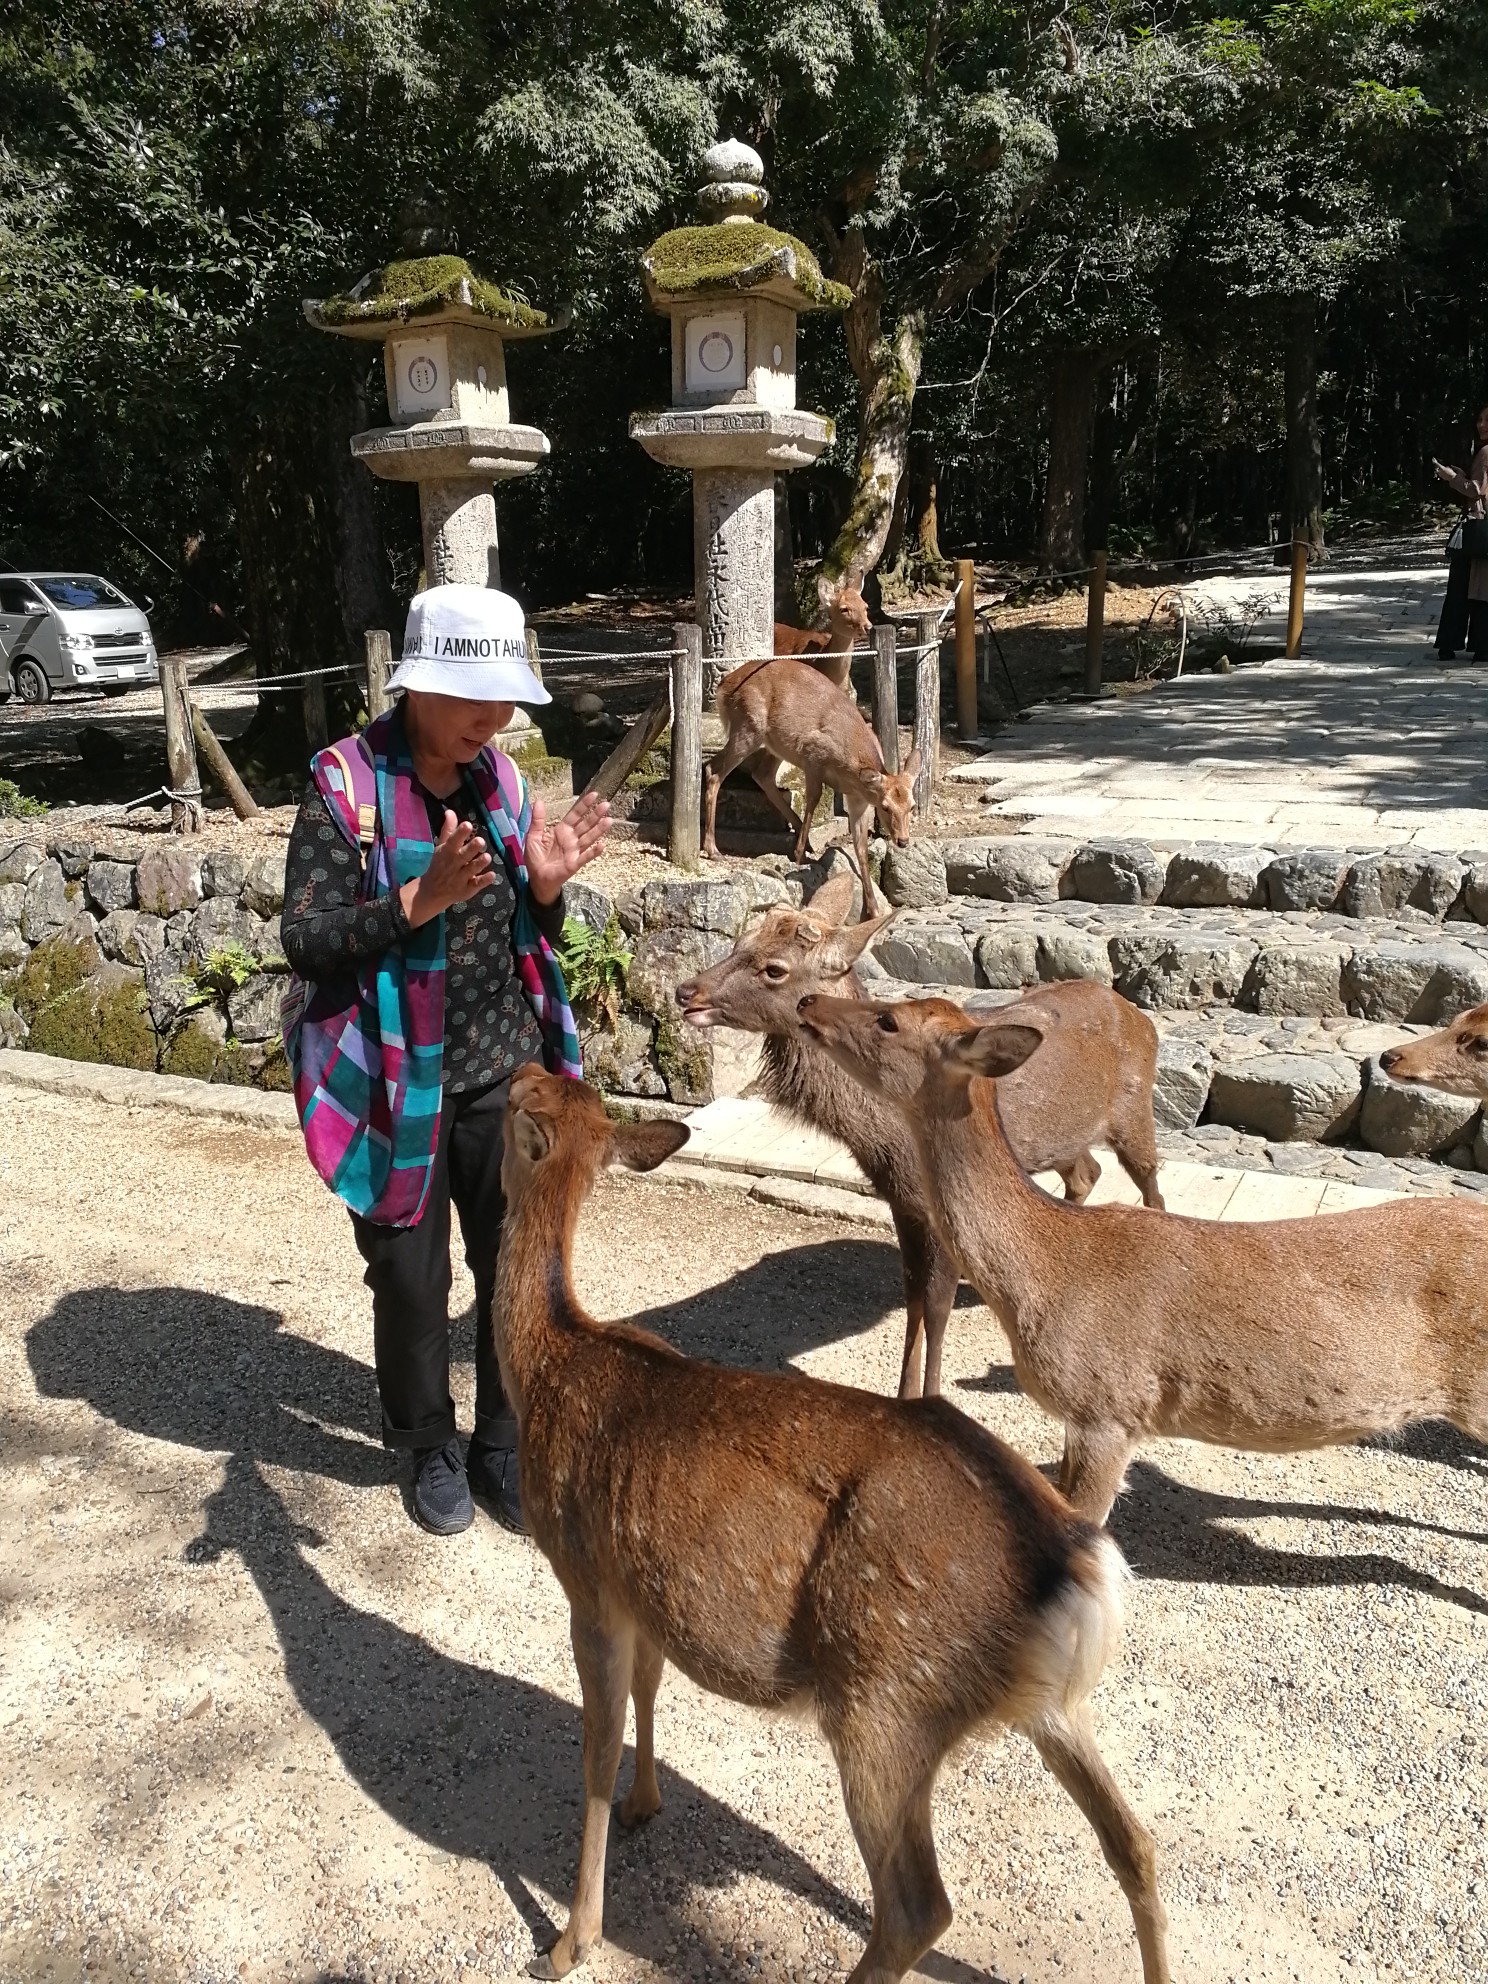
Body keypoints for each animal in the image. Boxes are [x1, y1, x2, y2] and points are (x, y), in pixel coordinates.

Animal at [501, 1063, 1174, 1984]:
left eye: (514, 1100)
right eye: (544, 1083)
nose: (508, 1072)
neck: (550, 1360)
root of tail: (1077, 1567)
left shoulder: (586, 1578)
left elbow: (594, 1749)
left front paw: (570, 1939)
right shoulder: (641, 1589)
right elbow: (650, 1685)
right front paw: (647, 1804)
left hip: (885, 1700)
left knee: (920, 1907)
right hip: (1050, 1704)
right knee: (1135, 1844)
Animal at [678, 876, 1174, 1404]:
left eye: (775, 968)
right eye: (740, 941)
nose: (685, 991)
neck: (880, 1139)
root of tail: (1138, 1016)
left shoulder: (940, 1213)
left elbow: (936, 1310)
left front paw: (930, 1396)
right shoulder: (903, 1202)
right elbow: (913, 1298)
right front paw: (902, 1394)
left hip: (1134, 1111)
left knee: (1151, 1186)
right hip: (1064, 1139)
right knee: (1086, 1173)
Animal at [702, 662, 920, 916]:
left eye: (912, 806)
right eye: (885, 807)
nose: (903, 840)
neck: (851, 774)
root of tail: (724, 687)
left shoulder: (859, 802)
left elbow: (862, 850)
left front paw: (874, 909)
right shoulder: (813, 757)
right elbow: (813, 799)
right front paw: (798, 857)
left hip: (772, 742)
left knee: (762, 774)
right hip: (747, 726)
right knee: (714, 769)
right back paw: (713, 849)